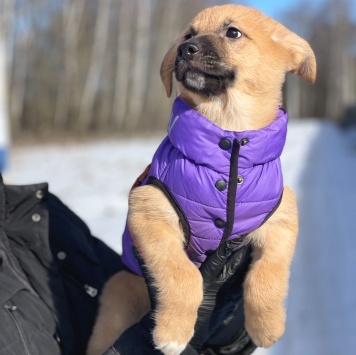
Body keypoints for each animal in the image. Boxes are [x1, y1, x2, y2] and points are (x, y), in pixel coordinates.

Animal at [87, 3, 316, 355]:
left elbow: (268, 275)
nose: (185, 50)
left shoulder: (281, 218)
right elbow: (184, 276)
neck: (230, 137)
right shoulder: (150, 210)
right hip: (118, 299)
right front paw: (173, 331)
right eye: (187, 35)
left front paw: (267, 326)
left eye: (233, 32)